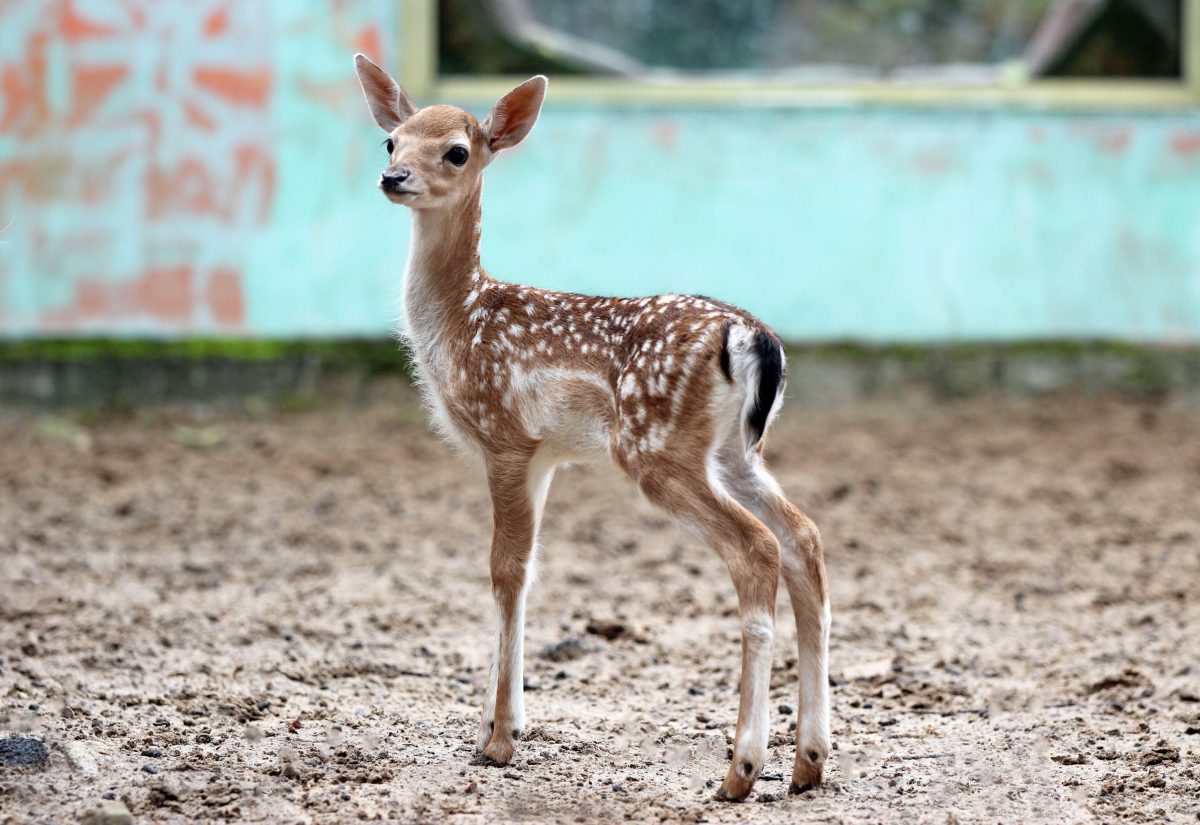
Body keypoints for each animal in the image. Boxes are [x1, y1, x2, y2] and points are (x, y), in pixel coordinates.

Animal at [350, 54, 830, 801]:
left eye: (456, 150)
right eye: (391, 140)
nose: (393, 178)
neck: (459, 321)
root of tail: (753, 337)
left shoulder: (506, 437)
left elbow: (505, 569)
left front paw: (499, 741)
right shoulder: (547, 455)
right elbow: (525, 572)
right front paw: (492, 727)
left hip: (656, 447)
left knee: (756, 547)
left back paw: (741, 769)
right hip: (734, 452)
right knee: (804, 537)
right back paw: (808, 761)